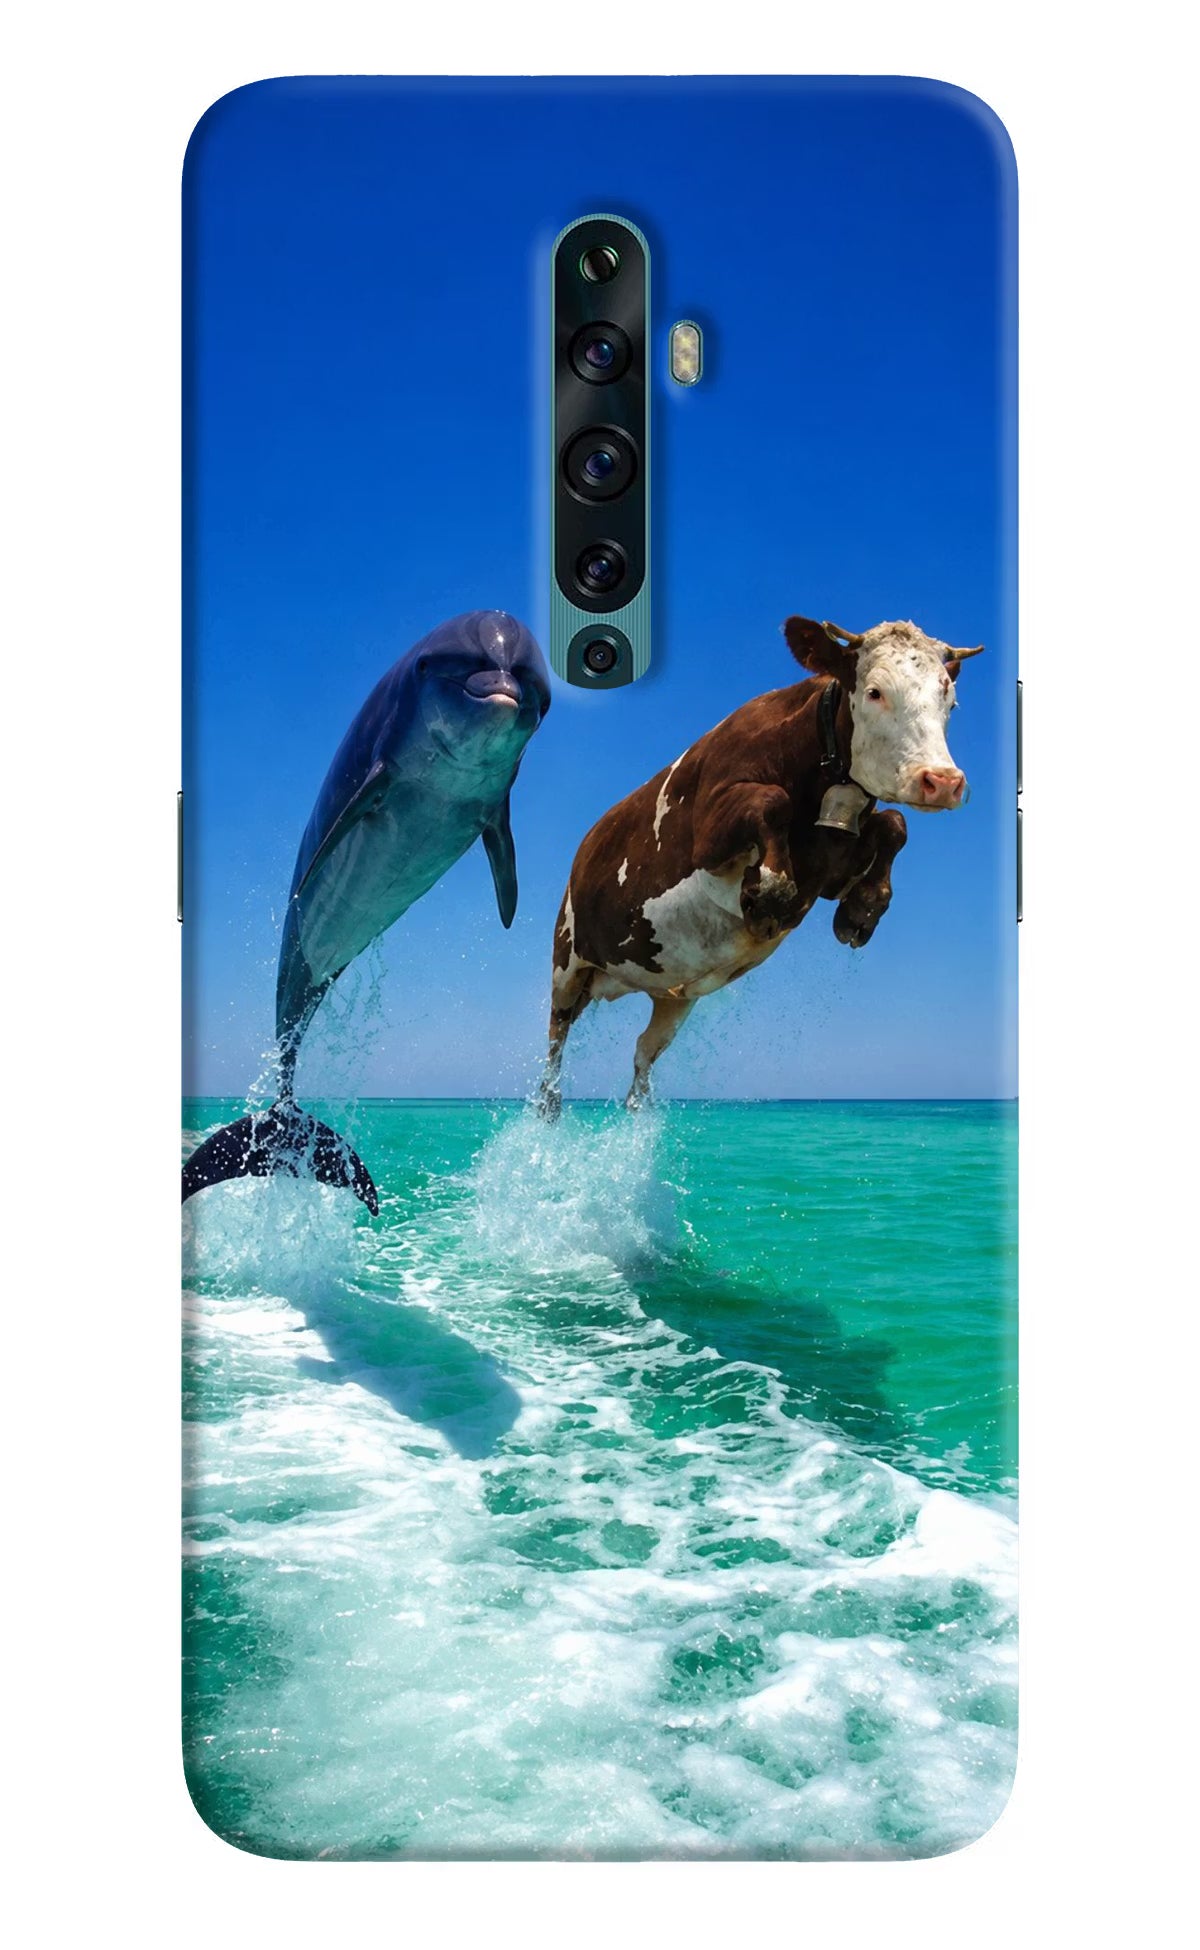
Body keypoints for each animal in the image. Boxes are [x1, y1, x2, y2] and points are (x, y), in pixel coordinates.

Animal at [537, 615, 984, 1116]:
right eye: (874, 691)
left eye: (950, 699)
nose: (942, 781)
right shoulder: (709, 835)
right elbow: (772, 801)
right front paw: (768, 894)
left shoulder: (830, 867)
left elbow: (894, 823)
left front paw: (862, 909)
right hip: (567, 961)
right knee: (555, 1041)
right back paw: (549, 1106)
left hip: (672, 996)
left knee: (642, 1053)